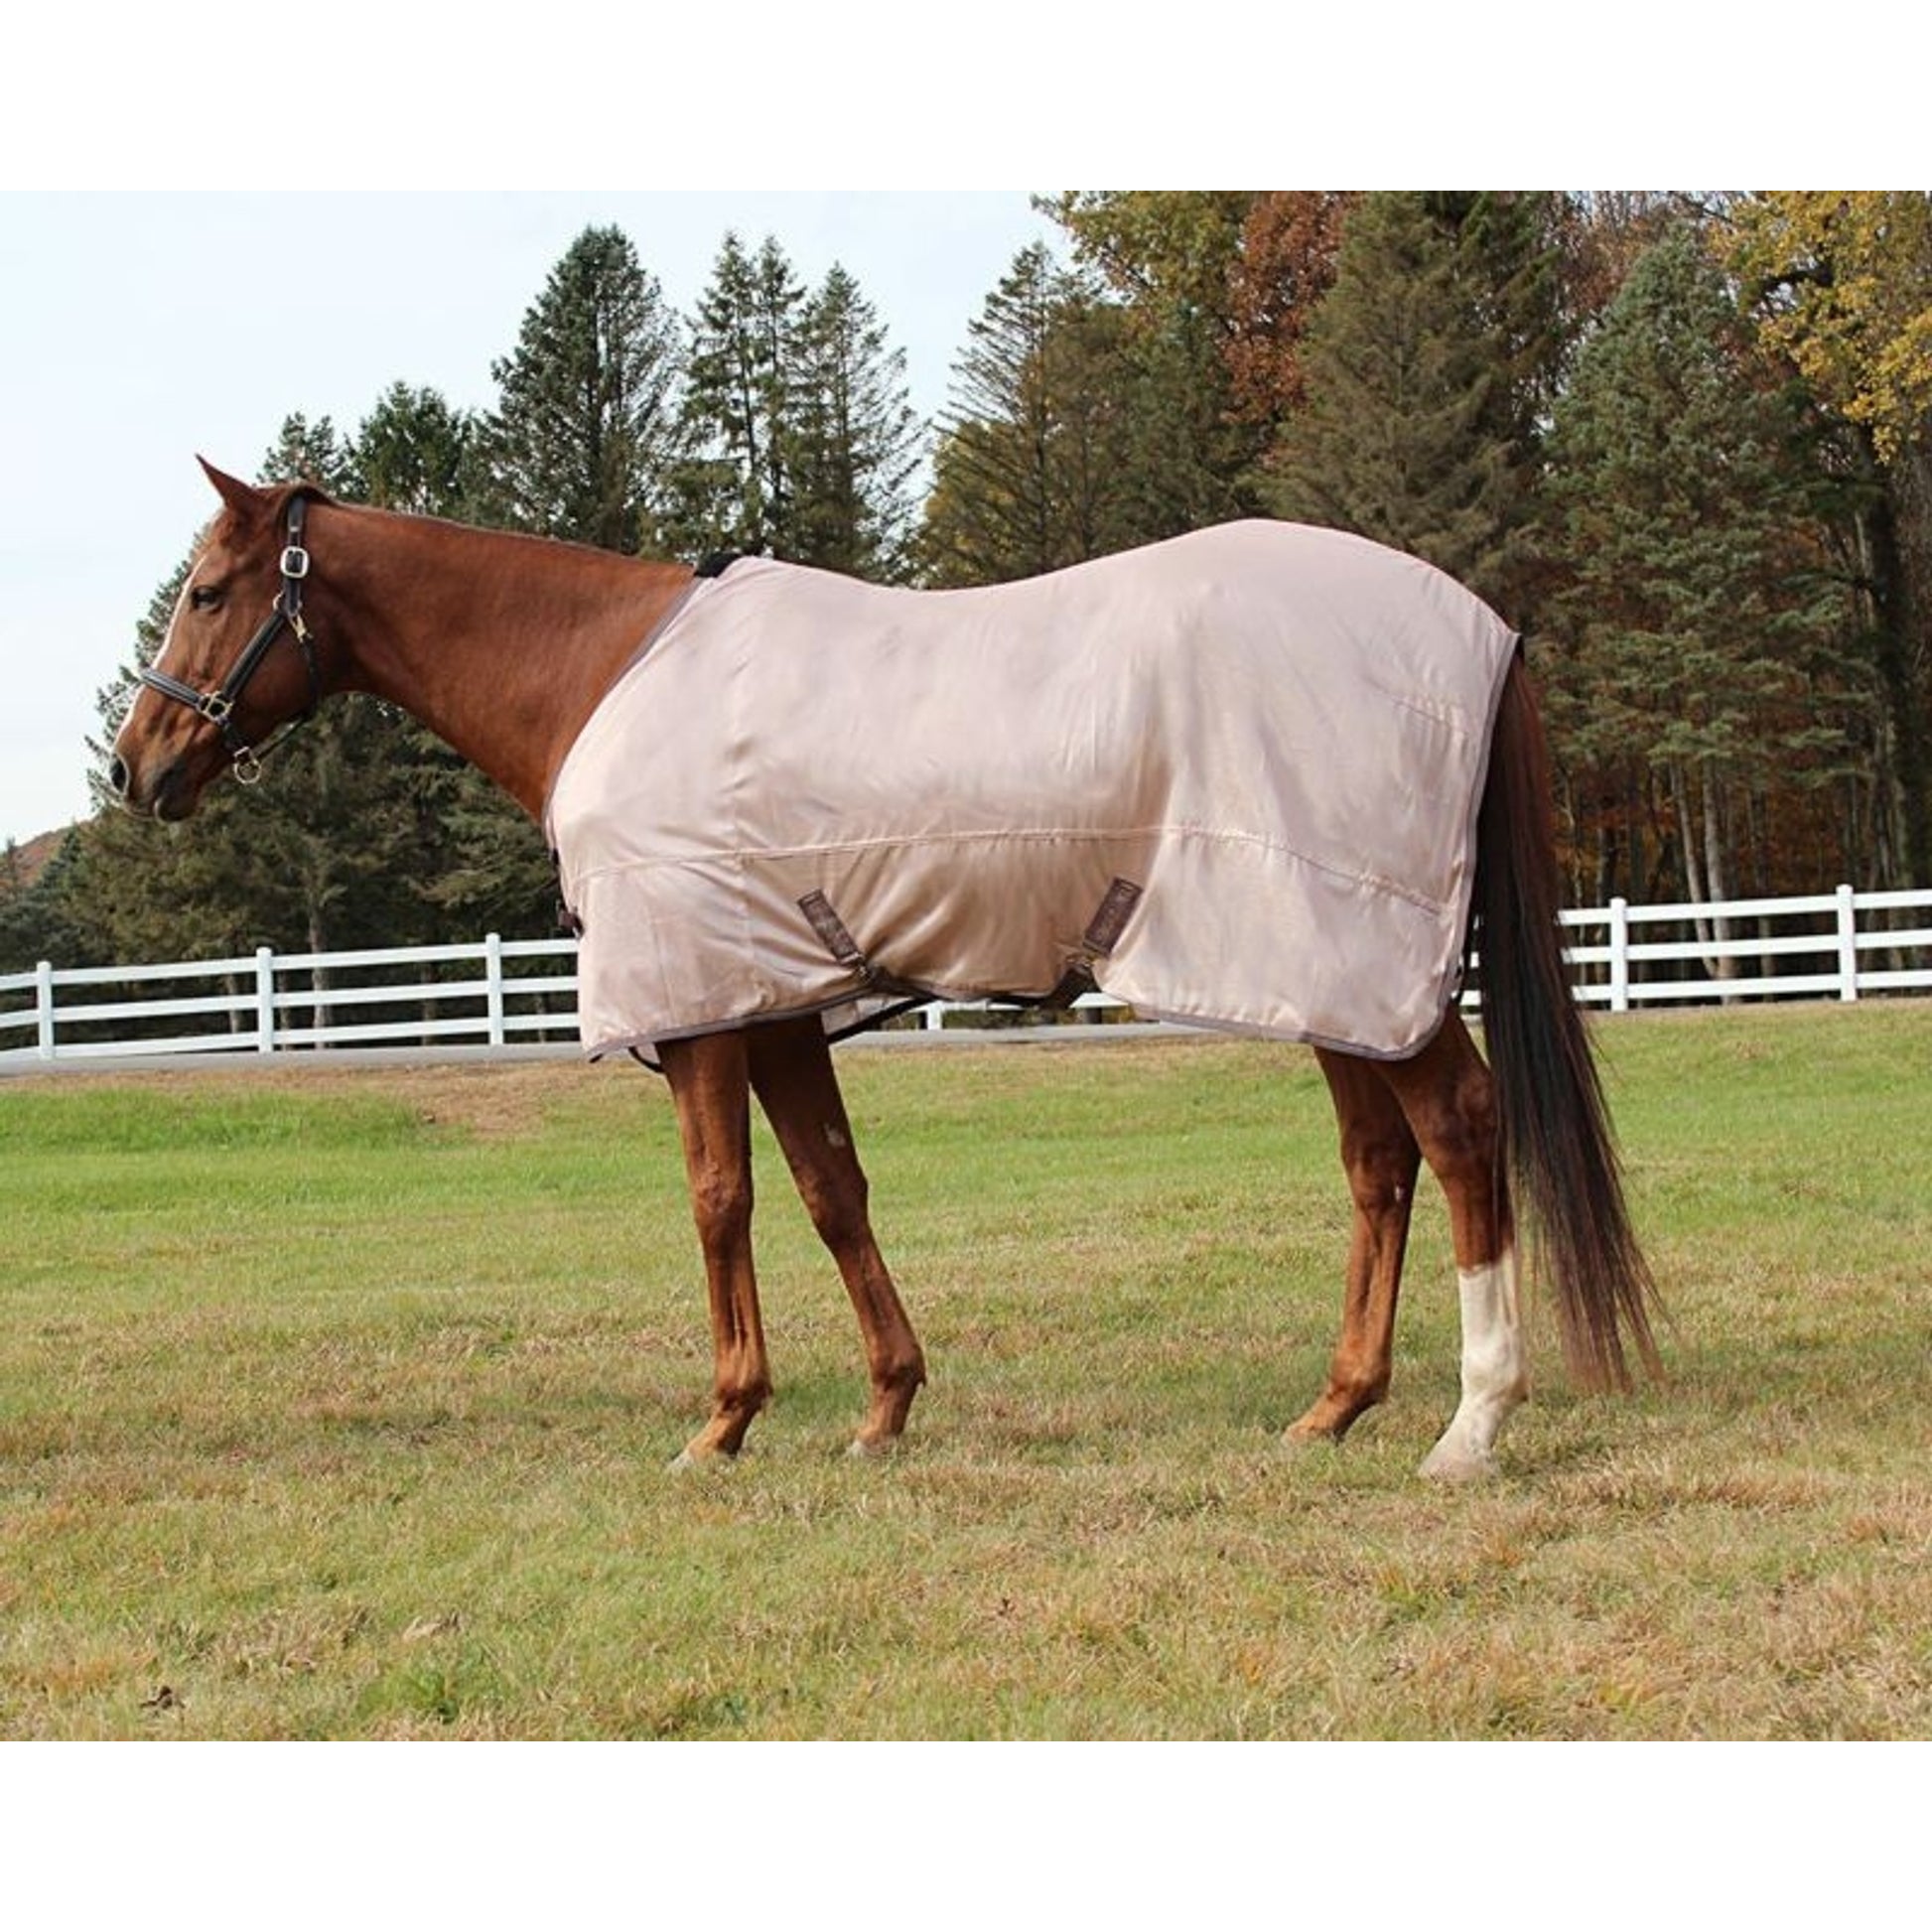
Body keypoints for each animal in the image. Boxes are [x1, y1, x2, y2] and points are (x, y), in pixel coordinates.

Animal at [109, 461, 1660, 1480]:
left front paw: (725, 1419)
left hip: (1354, 955)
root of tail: (1480, 629)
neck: (602, 671)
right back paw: (1336, 1406)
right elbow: (829, 1191)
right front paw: (881, 1405)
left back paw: (1470, 1423)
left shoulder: (700, 1011)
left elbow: (719, 1201)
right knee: (1377, 1162)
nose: (136, 766)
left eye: (205, 590)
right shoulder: (781, 1004)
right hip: (1318, 971)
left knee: (1456, 1133)